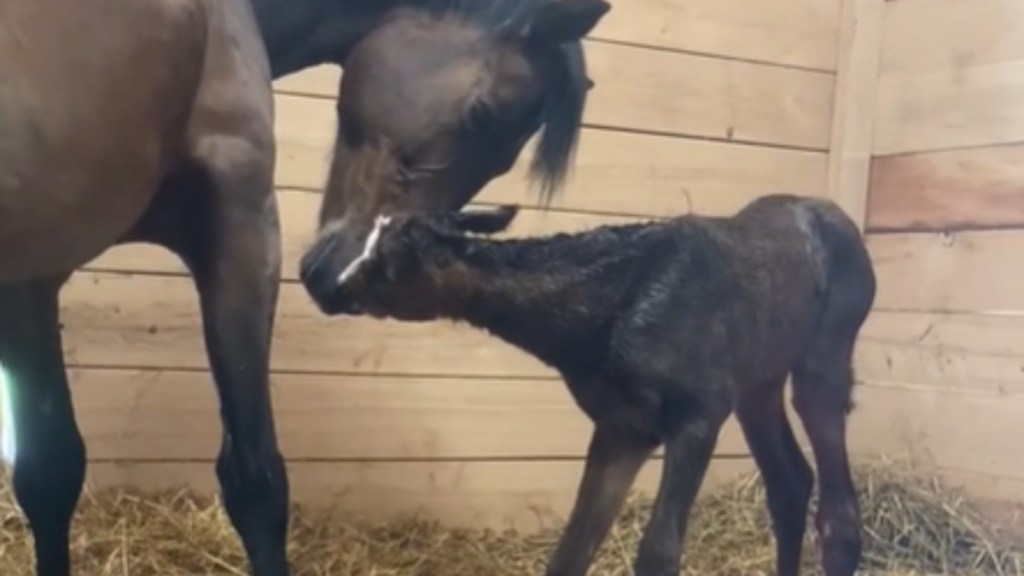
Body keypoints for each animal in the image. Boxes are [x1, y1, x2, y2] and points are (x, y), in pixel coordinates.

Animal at [2, 0, 606, 569]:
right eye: (482, 114)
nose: (345, 280)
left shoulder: (30, 284)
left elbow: (49, 471)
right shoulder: (243, 229)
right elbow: (256, 482)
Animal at [325, 193, 872, 573]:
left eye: (384, 261)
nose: (334, 285)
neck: (595, 324)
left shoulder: (698, 410)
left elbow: (658, 554)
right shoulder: (623, 428)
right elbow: (571, 551)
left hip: (823, 357)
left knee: (838, 512)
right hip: (758, 382)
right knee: (790, 482)